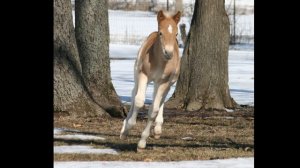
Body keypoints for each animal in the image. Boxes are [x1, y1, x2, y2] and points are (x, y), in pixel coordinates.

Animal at [119, 9, 180, 150]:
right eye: (161, 33)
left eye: (176, 34)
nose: (169, 53)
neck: (160, 62)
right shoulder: (144, 75)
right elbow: (139, 101)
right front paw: (127, 128)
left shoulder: (164, 81)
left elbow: (154, 109)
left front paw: (142, 142)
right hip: (137, 72)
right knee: (133, 93)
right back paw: (124, 127)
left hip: (167, 82)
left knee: (161, 99)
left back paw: (157, 129)